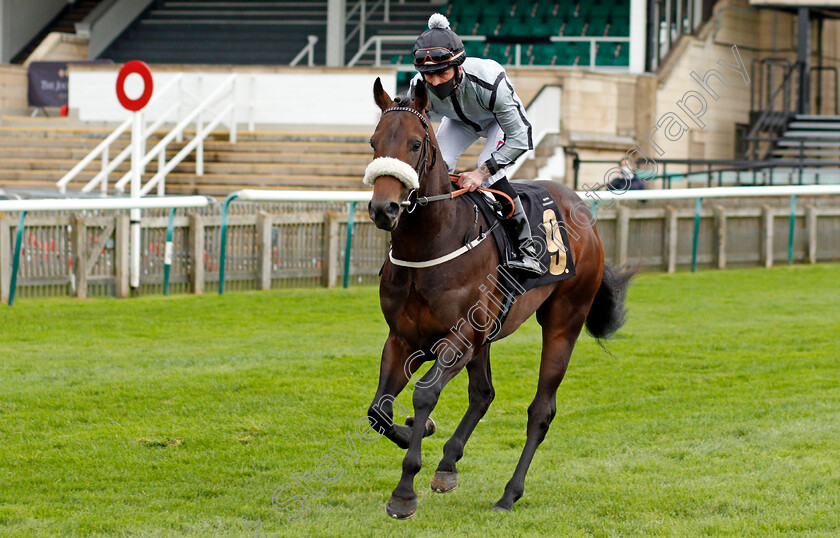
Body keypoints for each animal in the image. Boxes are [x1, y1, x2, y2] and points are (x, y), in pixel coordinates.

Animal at [364, 77, 632, 516]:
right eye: (374, 142)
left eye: (416, 144)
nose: (383, 209)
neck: (431, 244)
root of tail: (582, 210)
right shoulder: (403, 338)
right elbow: (378, 410)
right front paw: (416, 435)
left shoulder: (459, 339)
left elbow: (424, 395)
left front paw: (404, 491)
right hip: (486, 335)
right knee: (483, 394)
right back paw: (448, 464)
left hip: (564, 319)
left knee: (541, 410)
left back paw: (509, 493)